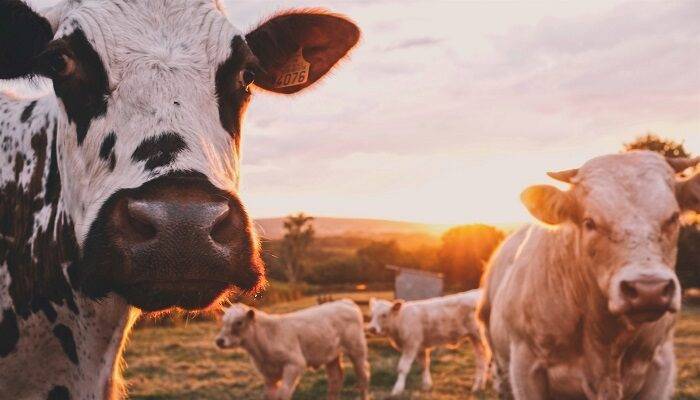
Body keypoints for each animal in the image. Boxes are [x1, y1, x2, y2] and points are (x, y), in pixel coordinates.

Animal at [215, 300, 370, 400]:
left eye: (239, 322)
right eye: (223, 322)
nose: (219, 341)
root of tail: (345, 302)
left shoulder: (294, 364)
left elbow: (283, 394)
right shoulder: (268, 374)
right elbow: (269, 395)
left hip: (357, 349)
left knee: (363, 376)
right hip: (331, 355)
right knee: (335, 380)